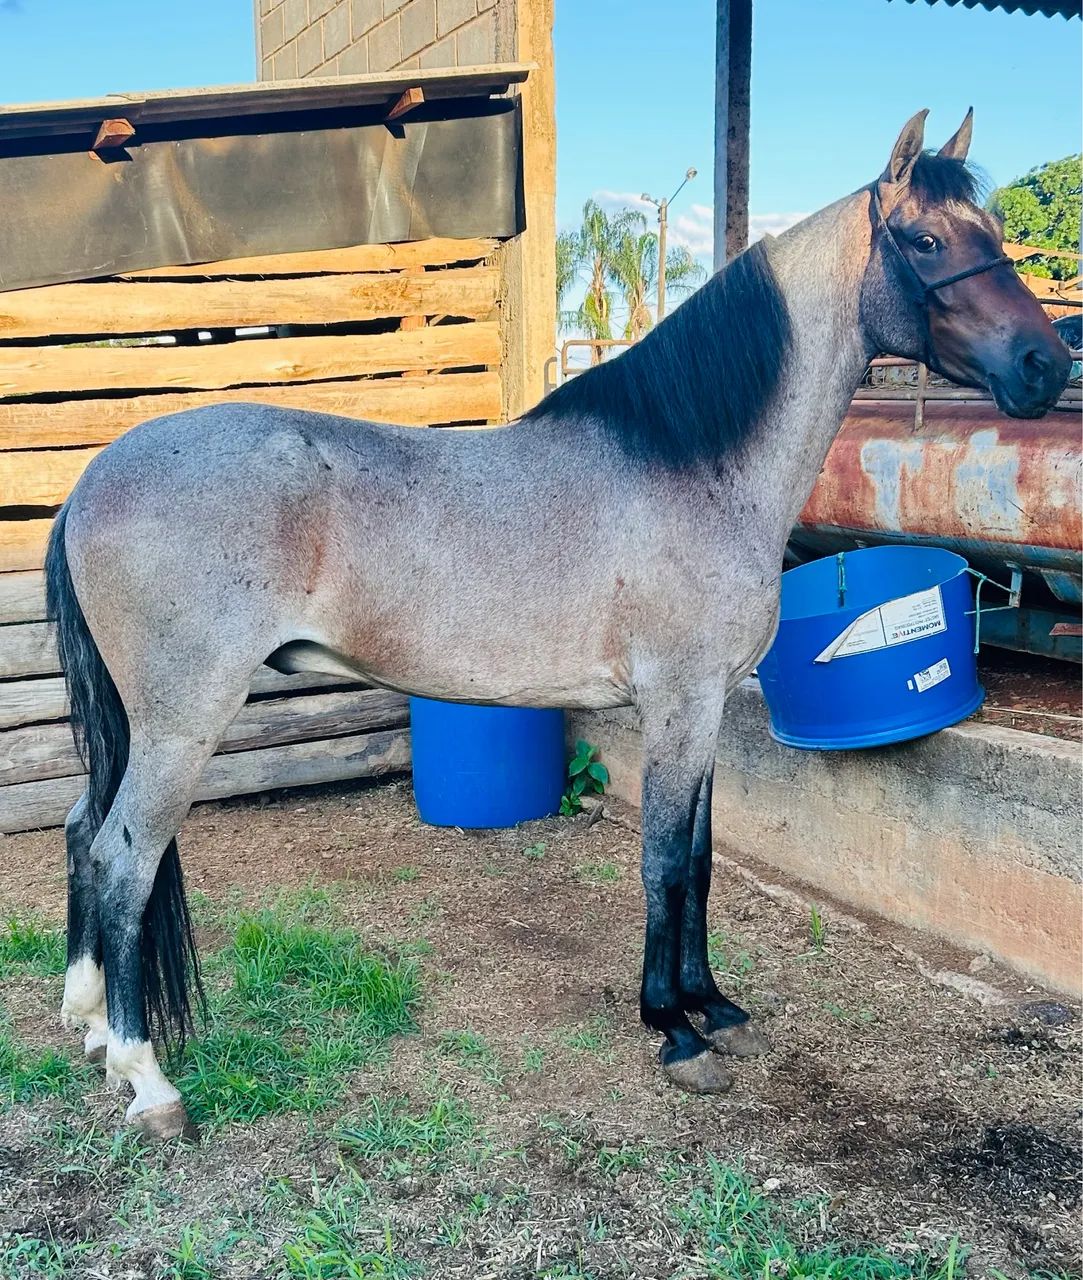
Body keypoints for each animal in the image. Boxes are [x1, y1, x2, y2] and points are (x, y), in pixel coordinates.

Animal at [45, 110, 1070, 1140]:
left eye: (990, 230)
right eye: (926, 241)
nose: (1047, 364)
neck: (694, 465)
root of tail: (93, 481)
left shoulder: (705, 711)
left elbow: (700, 860)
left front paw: (713, 1004)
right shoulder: (678, 704)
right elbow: (665, 862)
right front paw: (674, 1029)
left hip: (137, 723)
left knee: (83, 831)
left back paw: (90, 1026)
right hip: (183, 722)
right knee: (123, 856)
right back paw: (147, 1079)